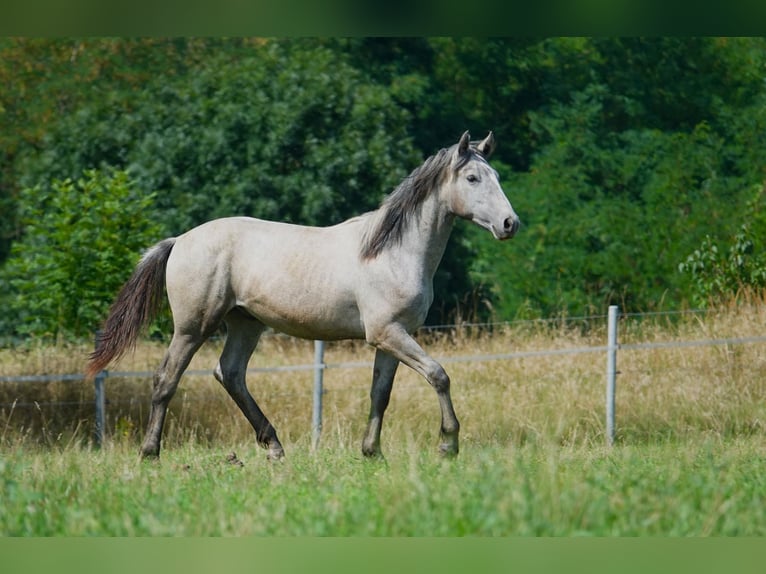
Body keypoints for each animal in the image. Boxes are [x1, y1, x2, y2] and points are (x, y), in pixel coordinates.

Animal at [86, 131, 520, 461]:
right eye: (473, 179)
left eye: (496, 175)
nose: (509, 223)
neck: (392, 252)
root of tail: (179, 241)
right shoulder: (388, 334)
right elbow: (438, 375)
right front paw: (448, 444)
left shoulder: (392, 337)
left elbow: (380, 394)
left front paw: (372, 453)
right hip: (194, 327)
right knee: (166, 379)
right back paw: (150, 453)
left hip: (246, 323)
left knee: (230, 374)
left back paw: (274, 447)